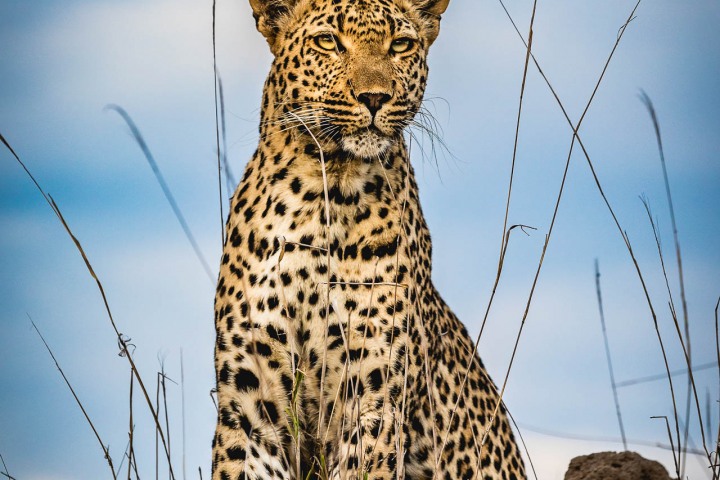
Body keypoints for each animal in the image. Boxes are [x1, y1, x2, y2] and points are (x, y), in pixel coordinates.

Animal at [212, 0, 526, 479]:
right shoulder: (249, 404)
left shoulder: (374, 395)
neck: (320, 198)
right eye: (328, 41)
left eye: (400, 45)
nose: (375, 97)